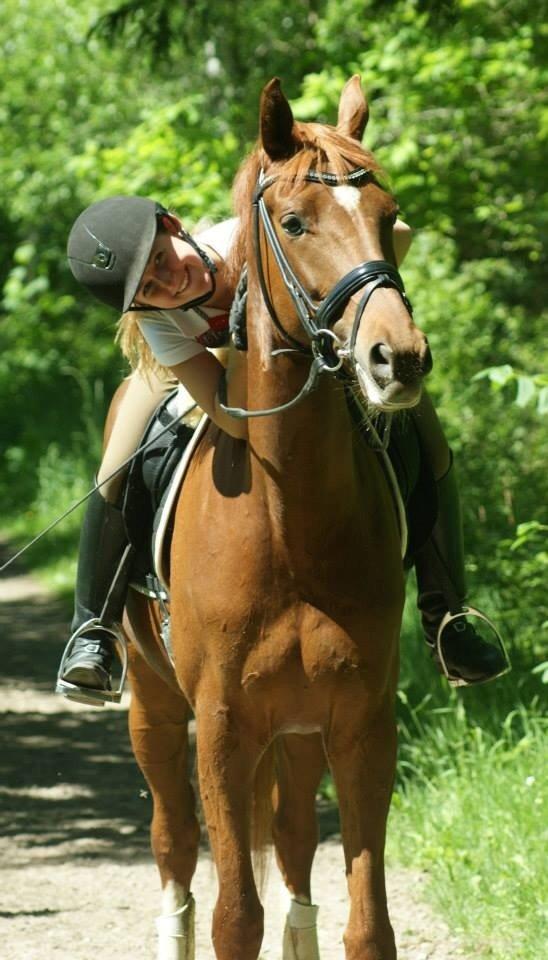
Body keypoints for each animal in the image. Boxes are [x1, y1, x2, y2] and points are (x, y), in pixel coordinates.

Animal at [122, 77, 430, 960]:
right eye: (294, 223)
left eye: (391, 216)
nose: (398, 358)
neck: (290, 525)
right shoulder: (223, 730)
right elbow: (235, 917)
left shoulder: (361, 724)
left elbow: (368, 927)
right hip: (154, 710)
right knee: (174, 849)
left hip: (296, 733)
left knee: (291, 846)